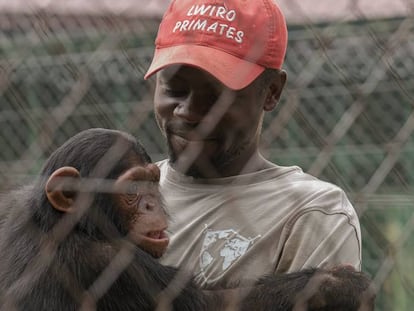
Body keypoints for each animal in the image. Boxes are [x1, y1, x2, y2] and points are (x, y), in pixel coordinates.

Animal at [0, 128, 376, 310]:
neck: (67, 224)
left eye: (153, 181)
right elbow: (211, 305)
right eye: (133, 189)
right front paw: (332, 285)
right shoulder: (109, 266)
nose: (152, 205)